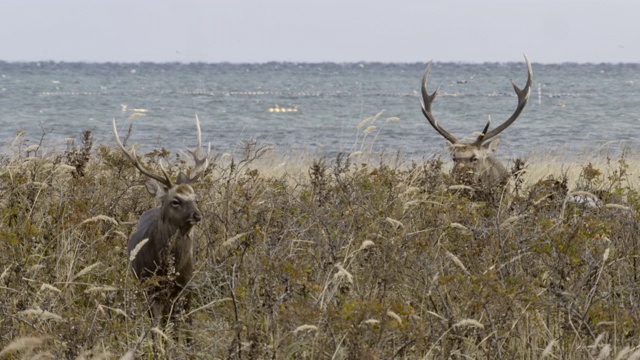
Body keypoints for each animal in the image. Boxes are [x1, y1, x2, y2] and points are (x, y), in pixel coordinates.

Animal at [111, 116, 209, 344]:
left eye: (195, 197)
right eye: (176, 200)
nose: (197, 215)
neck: (165, 267)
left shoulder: (185, 285)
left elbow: (181, 325)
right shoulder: (148, 286)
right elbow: (156, 327)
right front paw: (159, 346)